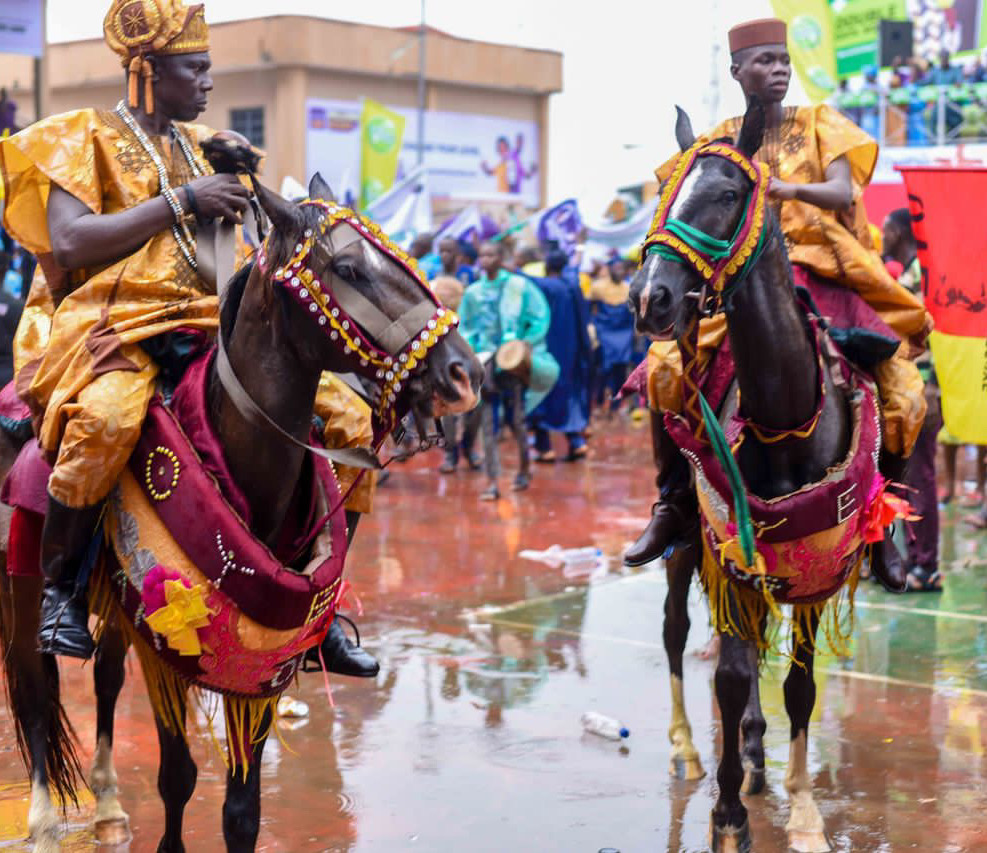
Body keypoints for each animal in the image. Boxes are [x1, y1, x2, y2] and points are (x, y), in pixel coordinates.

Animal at [0, 173, 482, 852]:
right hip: (21, 577)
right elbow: (177, 777)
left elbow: (243, 809)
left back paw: (110, 804)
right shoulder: (167, 643)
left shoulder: (259, 673)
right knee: (36, 684)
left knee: (105, 678)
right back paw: (44, 820)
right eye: (347, 270)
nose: (467, 374)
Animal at [632, 101, 856, 852]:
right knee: (675, 630)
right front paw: (728, 815)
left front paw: (805, 807)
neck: (784, 418)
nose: (650, 297)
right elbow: (730, 676)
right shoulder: (730, 555)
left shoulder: (819, 564)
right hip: (684, 544)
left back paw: (760, 755)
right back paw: (689, 748)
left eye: (728, 194)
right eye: (661, 187)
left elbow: (798, 683)